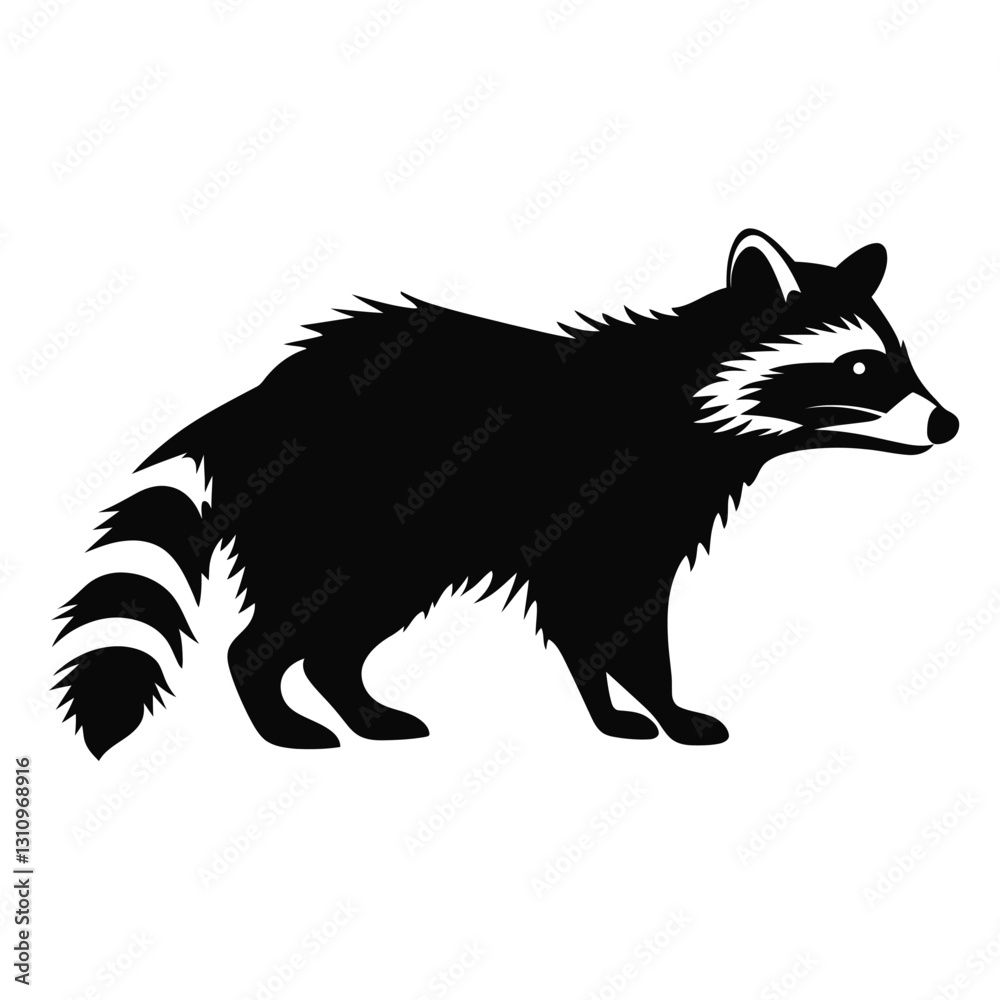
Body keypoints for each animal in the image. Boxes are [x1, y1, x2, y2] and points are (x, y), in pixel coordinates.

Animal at [53, 230, 958, 758]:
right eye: (858, 368)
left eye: (901, 357)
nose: (946, 423)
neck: (685, 393)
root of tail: (255, 400)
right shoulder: (605, 494)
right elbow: (608, 610)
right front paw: (647, 703)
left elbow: (608, 613)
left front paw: (626, 707)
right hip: (344, 511)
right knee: (289, 622)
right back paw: (276, 709)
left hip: (398, 545)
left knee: (346, 631)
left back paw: (359, 706)